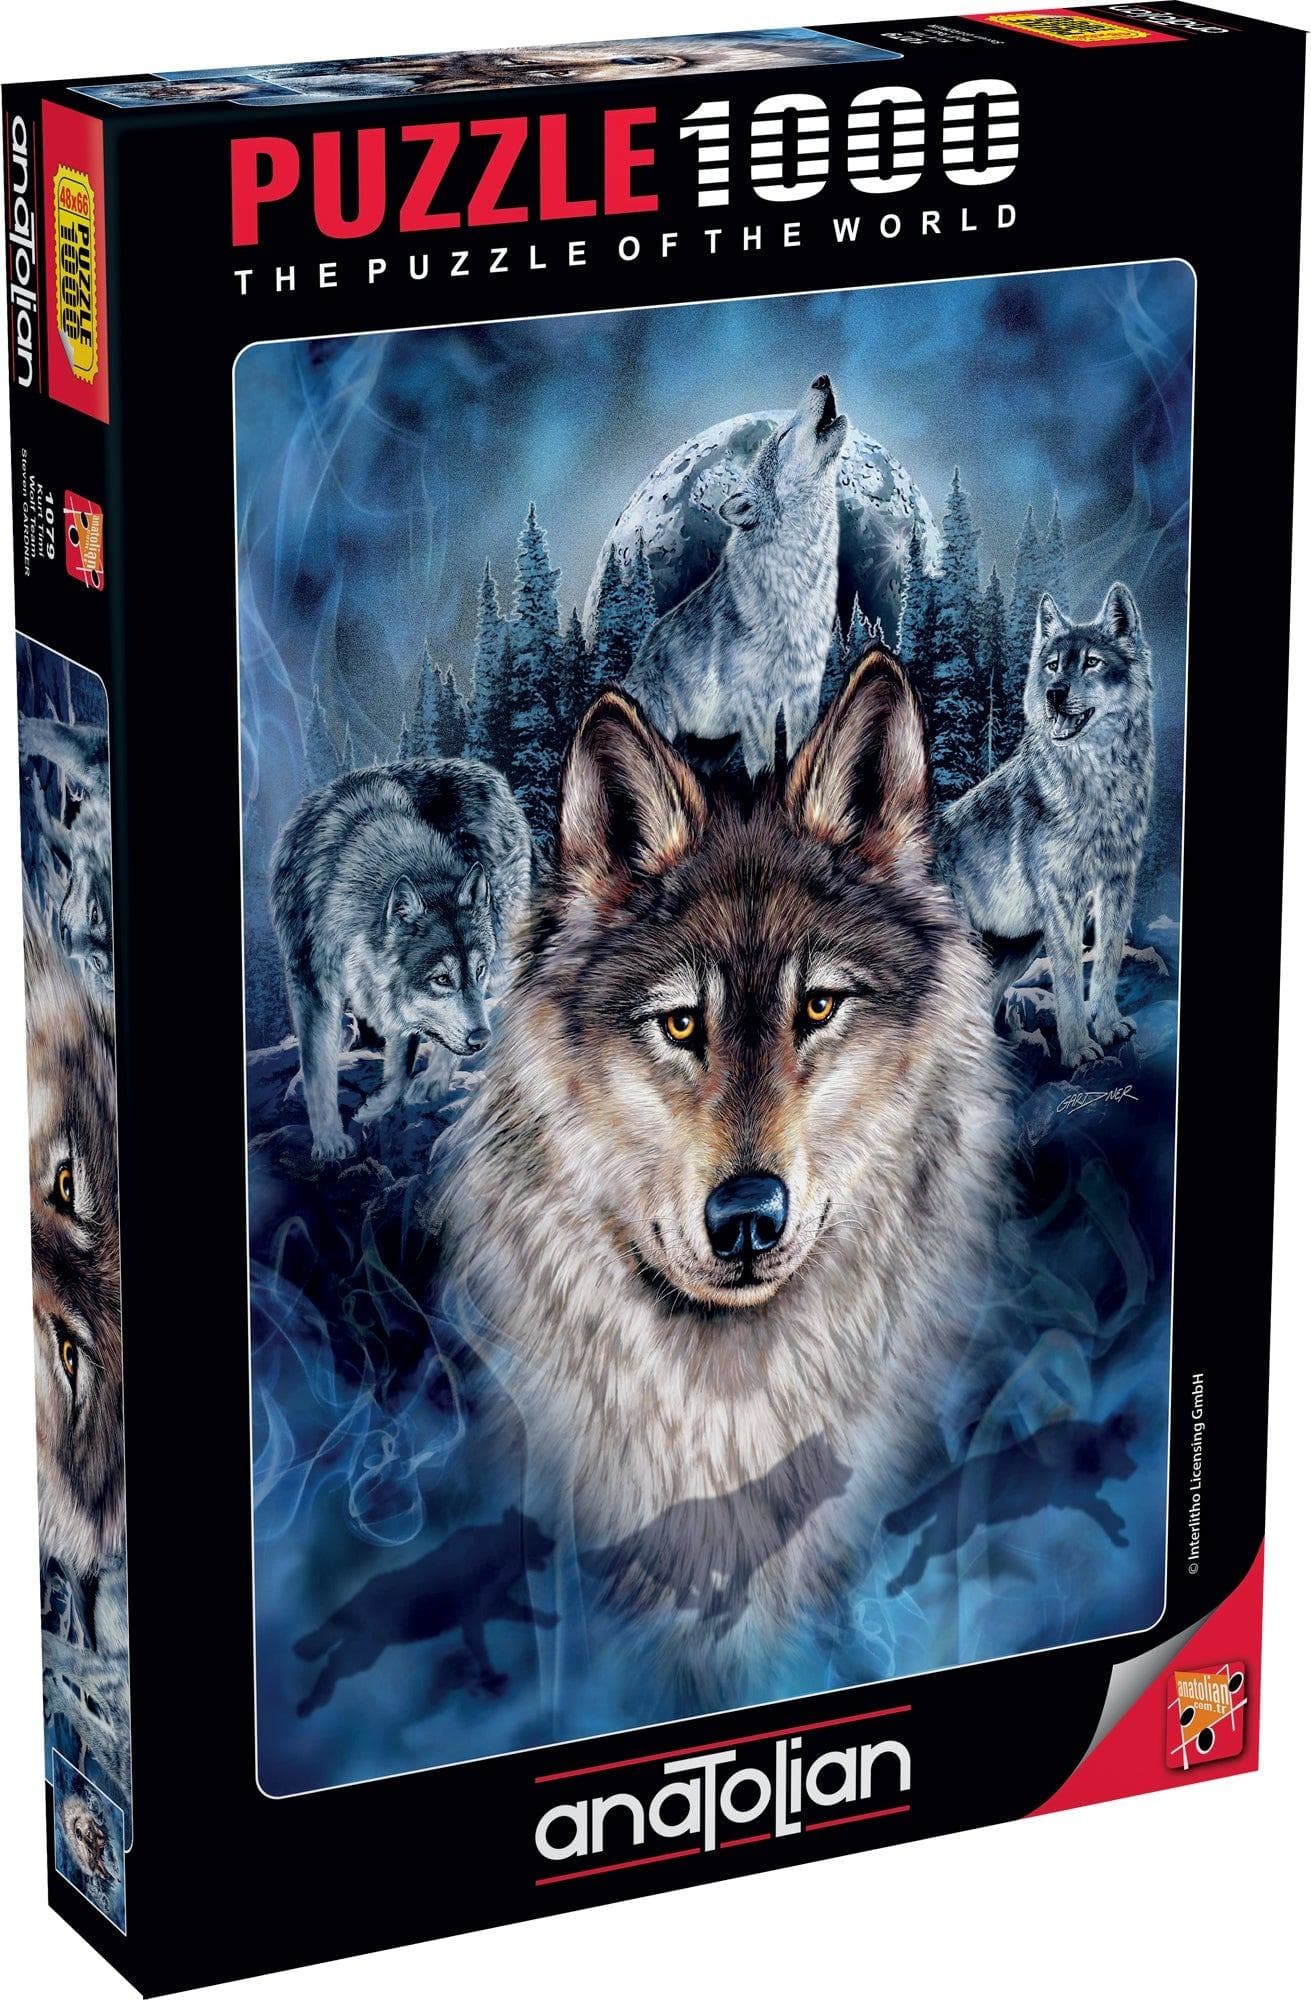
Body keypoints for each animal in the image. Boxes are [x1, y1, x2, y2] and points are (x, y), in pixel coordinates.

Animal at [19, 714, 113, 987]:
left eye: (97, 962)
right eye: (95, 914)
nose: (67, 941)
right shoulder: (97, 755)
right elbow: (66, 742)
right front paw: (26, 733)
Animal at [270, 757, 532, 1161]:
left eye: (478, 970)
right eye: (441, 979)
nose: (481, 1040)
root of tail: (490, 775)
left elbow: (402, 1063)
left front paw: (372, 1107)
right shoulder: (312, 984)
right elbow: (318, 1070)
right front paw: (329, 1140)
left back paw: (437, 1079)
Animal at [625, 376, 848, 776]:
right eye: (783, 434)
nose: (821, 379)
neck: (798, 580)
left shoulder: (804, 694)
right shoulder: (756, 704)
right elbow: (763, 768)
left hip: (716, 749)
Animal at [936, 584, 1154, 1071]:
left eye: (1091, 662)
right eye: (1053, 665)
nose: (1055, 693)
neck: (1096, 786)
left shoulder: (1117, 884)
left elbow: (1107, 960)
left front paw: (1108, 1027)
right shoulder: (1061, 897)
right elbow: (1070, 977)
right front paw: (1077, 1050)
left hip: (1018, 950)